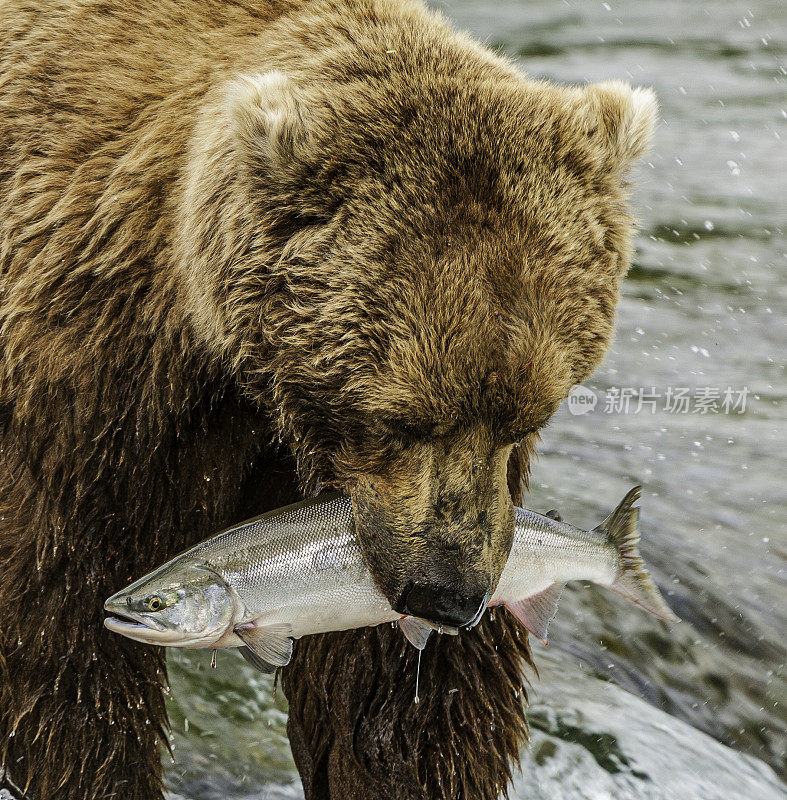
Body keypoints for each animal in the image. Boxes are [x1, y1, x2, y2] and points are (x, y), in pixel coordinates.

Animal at [0, 1, 652, 800]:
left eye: (530, 414)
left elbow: (389, 696)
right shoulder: (94, 392)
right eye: (401, 418)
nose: (449, 597)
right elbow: (63, 646)